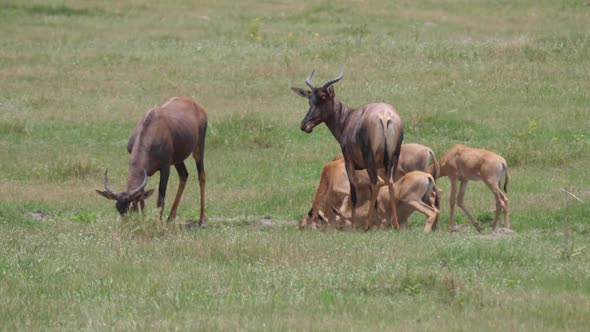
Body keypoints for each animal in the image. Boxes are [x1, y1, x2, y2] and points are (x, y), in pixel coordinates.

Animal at [96, 95, 209, 226]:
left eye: (132, 206)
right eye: (118, 208)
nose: (126, 226)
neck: (151, 127)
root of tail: (197, 105)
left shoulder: (165, 167)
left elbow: (160, 199)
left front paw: (157, 223)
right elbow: (142, 198)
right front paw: (145, 220)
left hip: (198, 148)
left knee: (201, 176)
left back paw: (201, 220)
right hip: (177, 159)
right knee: (184, 175)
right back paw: (170, 218)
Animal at [292, 69, 404, 231]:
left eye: (323, 97)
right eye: (310, 99)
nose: (304, 125)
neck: (348, 118)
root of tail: (384, 116)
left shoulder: (349, 161)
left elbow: (354, 194)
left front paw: (353, 225)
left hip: (369, 158)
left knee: (375, 183)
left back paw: (367, 226)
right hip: (394, 156)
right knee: (390, 183)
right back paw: (395, 224)